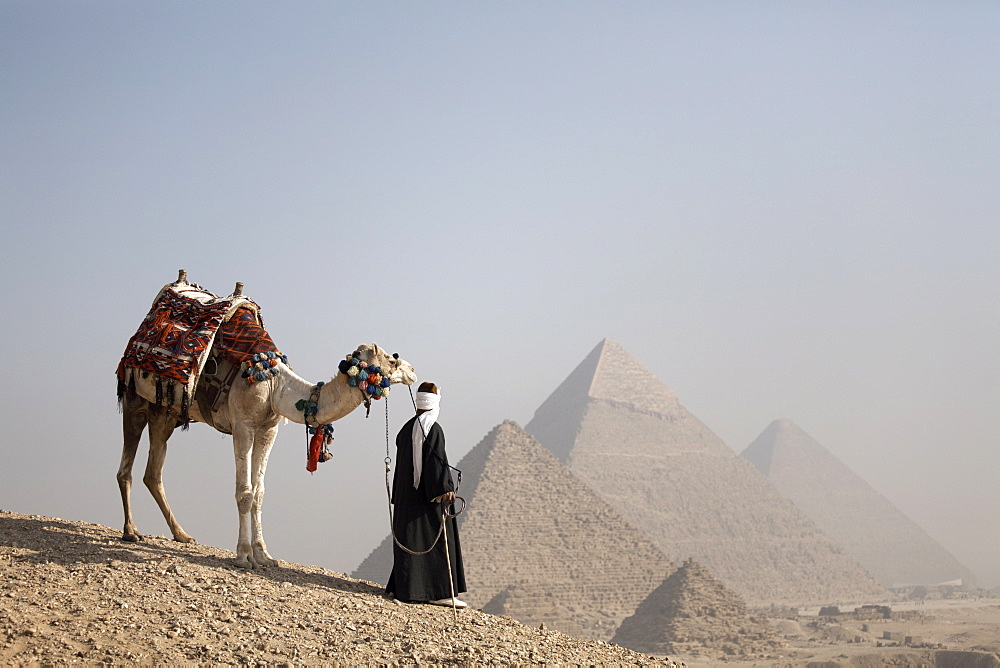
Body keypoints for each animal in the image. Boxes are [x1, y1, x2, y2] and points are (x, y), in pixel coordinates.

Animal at [117, 274, 418, 568]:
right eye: (392, 360)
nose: (413, 370)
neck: (274, 384)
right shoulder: (243, 426)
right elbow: (244, 493)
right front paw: (243, 556)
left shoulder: (268, 430)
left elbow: (259, 493)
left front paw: (263, 555)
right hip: (135, 398)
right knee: (126, 467)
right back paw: (131, 531)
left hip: (165, 412)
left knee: (153, 472)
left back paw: (181, 534)